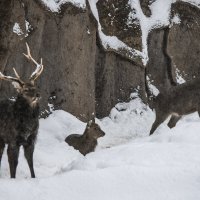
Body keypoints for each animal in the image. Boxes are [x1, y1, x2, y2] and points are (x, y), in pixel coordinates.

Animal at [0, 43, 43, 177]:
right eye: (25, 90)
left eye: (35, 86)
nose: (38, 94)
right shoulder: (13, 140)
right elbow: (13, 165)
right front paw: (13, 179)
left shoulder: (31, 140)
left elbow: (30, 162)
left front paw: (34, 178)